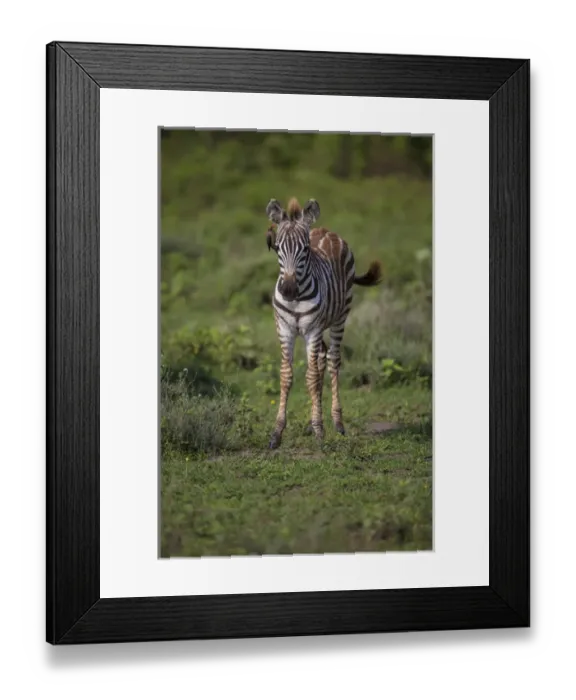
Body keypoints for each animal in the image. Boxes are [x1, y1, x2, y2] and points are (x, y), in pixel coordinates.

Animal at [265, 196, 382, 449]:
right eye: (277, 247)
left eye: (305, 250)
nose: (288, 290)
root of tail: (327, 230)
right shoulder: (284, 329)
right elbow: (286, 376)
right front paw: (277, 433)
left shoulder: (313, 329)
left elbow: (310, 377)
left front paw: (319, 431)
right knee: (319, 362)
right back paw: (313, 422)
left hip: (339, 318)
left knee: (332, 361)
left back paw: (337, 423)